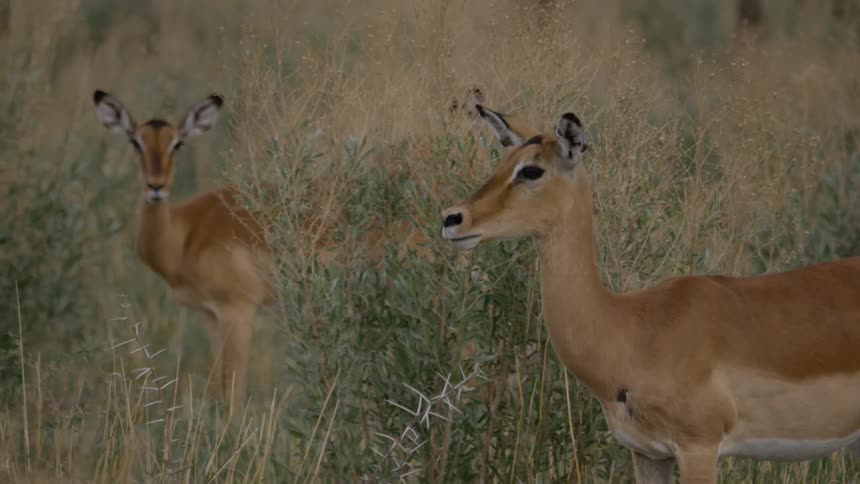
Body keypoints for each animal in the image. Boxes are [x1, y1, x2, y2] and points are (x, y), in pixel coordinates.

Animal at [93, 90, 272, 406]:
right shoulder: (210, 315)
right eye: (135, 141)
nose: (156, 186)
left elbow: (234, 396)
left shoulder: (238, 311)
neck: (186, 233)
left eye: (177, 143)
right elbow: (218, 390)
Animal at [441, 104, 860, 483]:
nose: (452, 218)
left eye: (531, 170)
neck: (633, 329)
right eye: (502, 161)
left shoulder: (698, 447)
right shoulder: (648, 453)